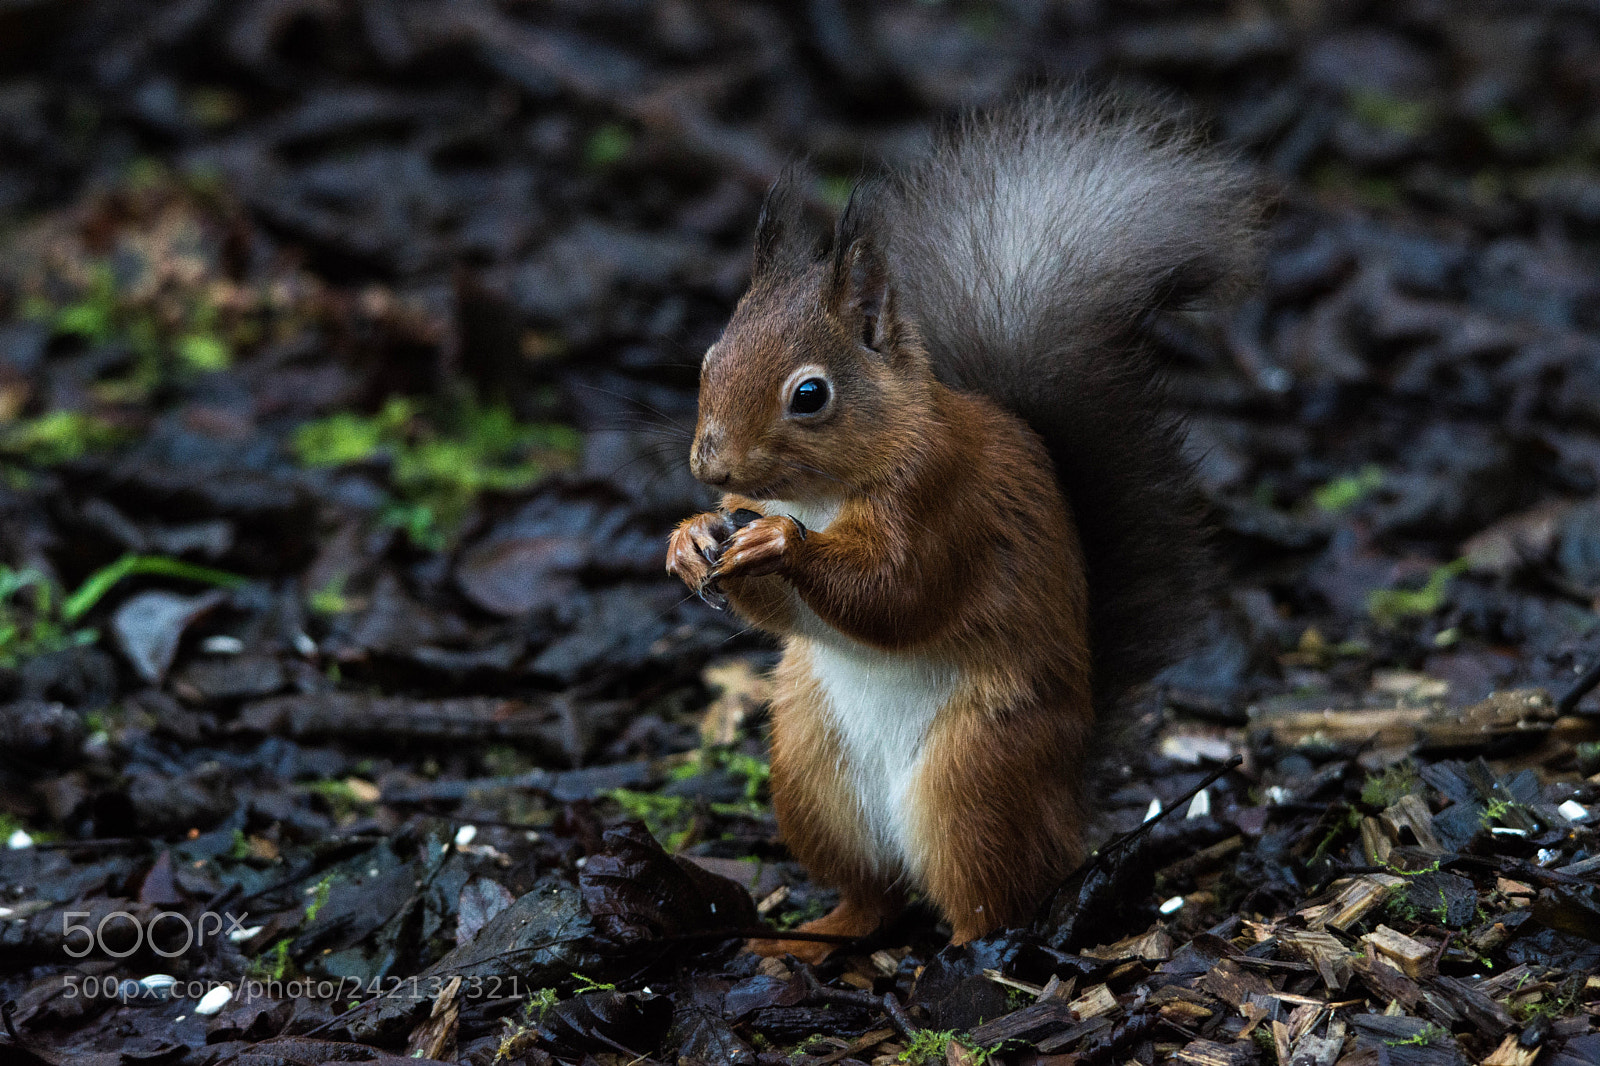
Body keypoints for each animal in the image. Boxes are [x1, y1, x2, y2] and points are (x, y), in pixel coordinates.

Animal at [665, 91, 1257, 961]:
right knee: (872, 896)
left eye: (810, 395)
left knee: (991, 896)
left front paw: (779, 546)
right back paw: (809, 939)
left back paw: (968, 956)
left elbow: (899, 594)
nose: (712, 468)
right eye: (709, 360)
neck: (825, 494)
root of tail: (1067, 802)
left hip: (977, 775)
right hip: (810, 767)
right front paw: (690, 539)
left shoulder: (944, 502)